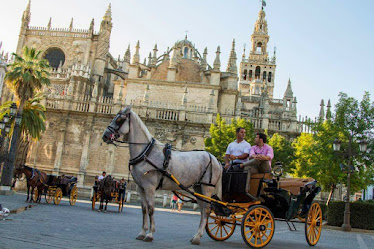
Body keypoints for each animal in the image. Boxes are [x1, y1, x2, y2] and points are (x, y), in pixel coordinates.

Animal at [101, 106, 222, 244]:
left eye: (119, 119)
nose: (105, 136)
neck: (146, 152)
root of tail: (215, 159)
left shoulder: (150, 187)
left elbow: (151, 209)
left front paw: (150, 234)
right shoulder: (140, 187)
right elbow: (144, 209)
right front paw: (142, 232)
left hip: (207, 188)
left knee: (206, 209)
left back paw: (197, 237)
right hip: (198, 188)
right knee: (202, 209)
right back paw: (196, 235)